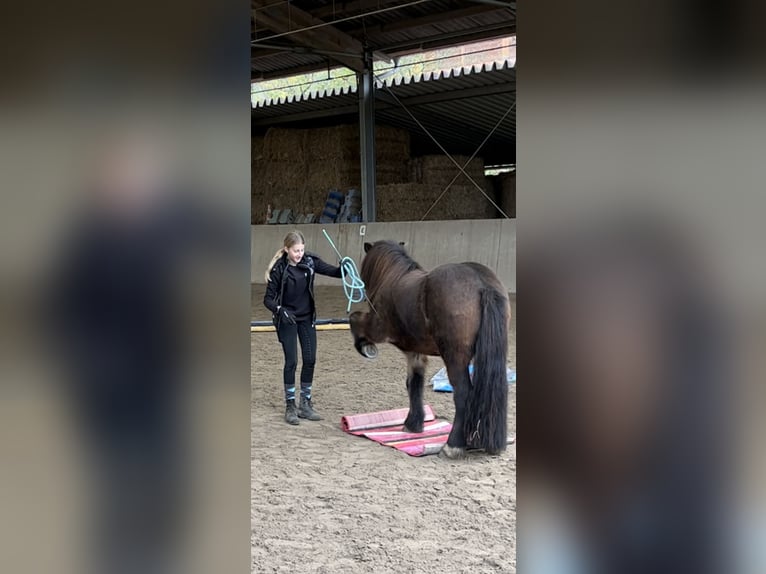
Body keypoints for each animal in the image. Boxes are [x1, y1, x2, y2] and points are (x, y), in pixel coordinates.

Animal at [349, 240, 511, 458]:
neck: (393, 278)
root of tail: (481, 283)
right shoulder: (415, 352)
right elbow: (414, 384)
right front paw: (413, 423)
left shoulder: (378, 329)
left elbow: (355, 320)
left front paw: (365, 347)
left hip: (455, 358)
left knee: (463, 394)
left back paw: (453, 445)